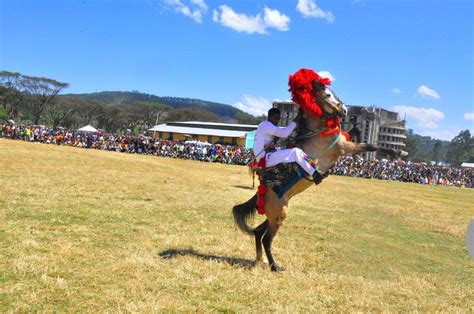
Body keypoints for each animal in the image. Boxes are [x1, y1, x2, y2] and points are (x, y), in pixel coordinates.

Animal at [231, 70, 406, 272]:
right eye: (327, 94)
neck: (317, 131)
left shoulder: (344, 141)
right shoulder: (343, 147)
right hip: (279, 214)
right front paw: (398, 152)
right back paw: (275, 266)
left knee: (259, 233)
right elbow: (371, 145)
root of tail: (263, 189)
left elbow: (358, 135)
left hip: (275, 214)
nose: (345, 111)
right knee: (267, 238)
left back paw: (260, 260)